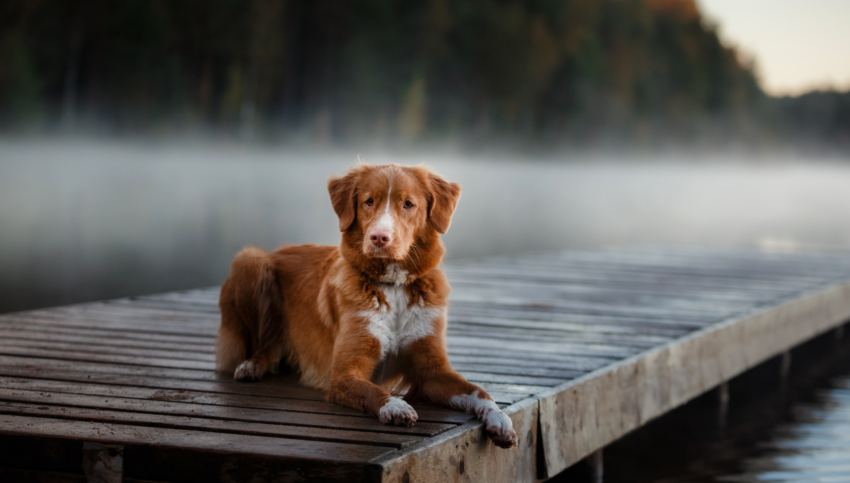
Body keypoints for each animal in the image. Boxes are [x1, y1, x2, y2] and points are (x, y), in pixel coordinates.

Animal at [215, 164, 512, 450]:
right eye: (369, 201)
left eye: (408, 204)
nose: (379, 237)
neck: (393, 285)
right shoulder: (343, 373)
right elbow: (372, 390)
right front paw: (394, 405)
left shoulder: (432, 372)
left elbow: (477, 390)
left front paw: (498, 417)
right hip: (251, 260)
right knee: (263, 344)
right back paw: (252, 365)